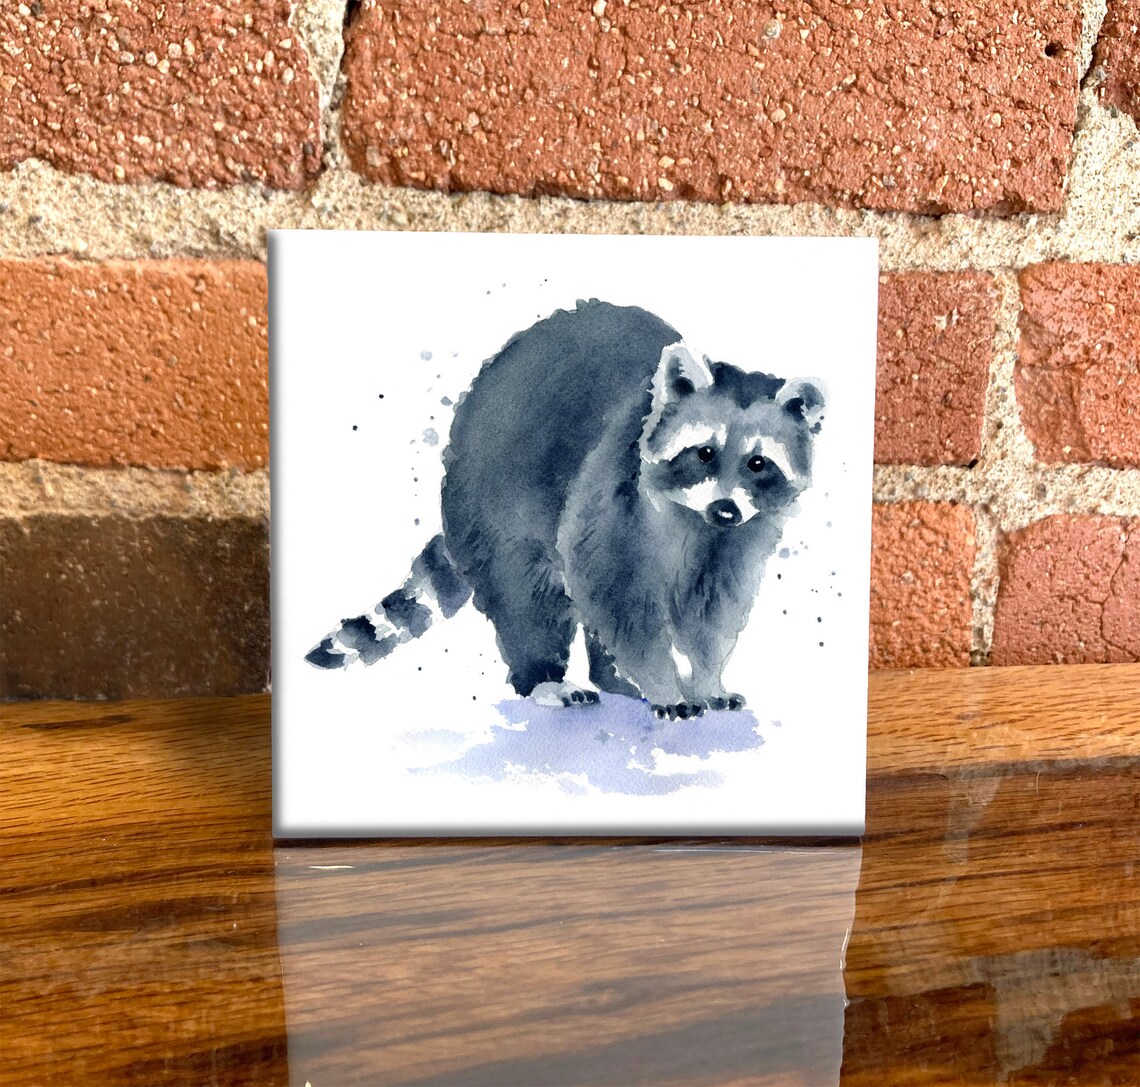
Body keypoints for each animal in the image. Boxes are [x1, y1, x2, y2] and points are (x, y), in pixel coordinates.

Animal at [306, 300, 824, 719]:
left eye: (758, 463)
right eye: (705, 453)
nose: (725, 509)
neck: (696, 523)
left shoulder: (740, 541)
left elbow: (715, 610)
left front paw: (707, 678)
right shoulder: (611, 493)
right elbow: (617, 596)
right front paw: (665, 685)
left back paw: (611, 674)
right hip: (495, 500)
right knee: (528, 592)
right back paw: (544, 677)